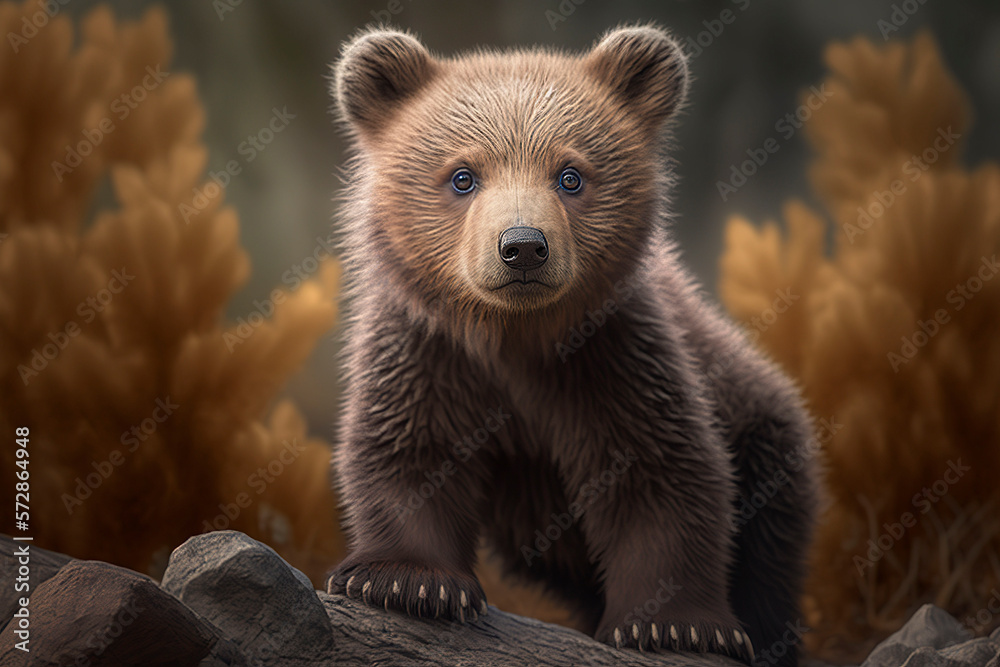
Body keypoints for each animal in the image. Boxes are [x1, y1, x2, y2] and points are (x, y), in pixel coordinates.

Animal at [326, 24, 817, 666]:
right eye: (462, 176)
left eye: (571, 175)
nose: (523, 246)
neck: (516, 337)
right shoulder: (428, 351)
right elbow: (408, 449)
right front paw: (406, 582)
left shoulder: (614, 356)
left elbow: (663, 473)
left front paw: (675, 626)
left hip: (765, 437)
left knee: (769, 560)